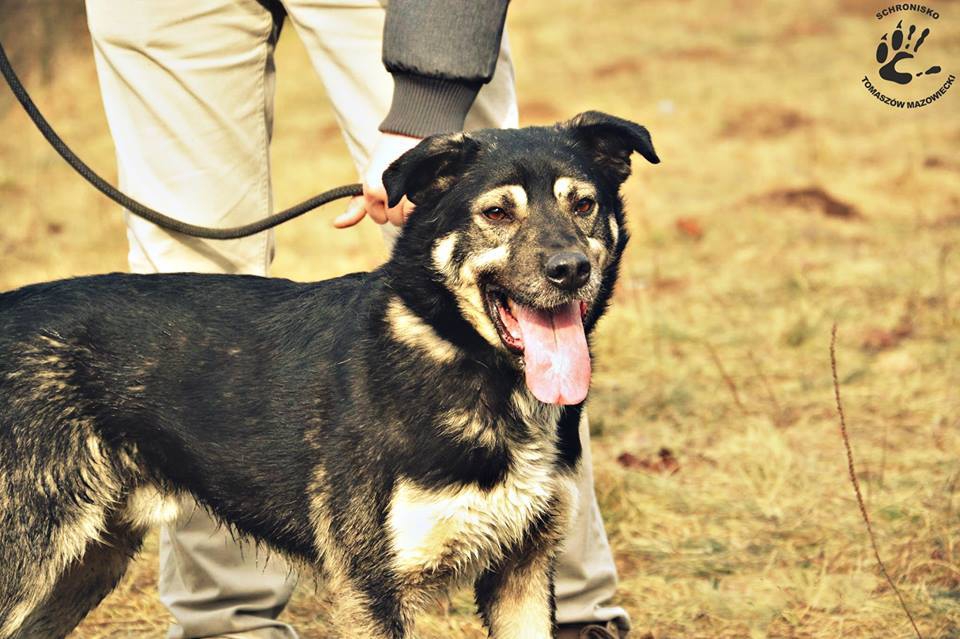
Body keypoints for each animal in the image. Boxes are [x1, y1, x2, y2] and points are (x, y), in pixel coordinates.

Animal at [0, 111, 658, 639]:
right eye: (496, 212)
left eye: (584, 204)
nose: (569, 269)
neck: (462, 356)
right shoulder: (374, 590)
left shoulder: (522, 568)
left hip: (81, 567)